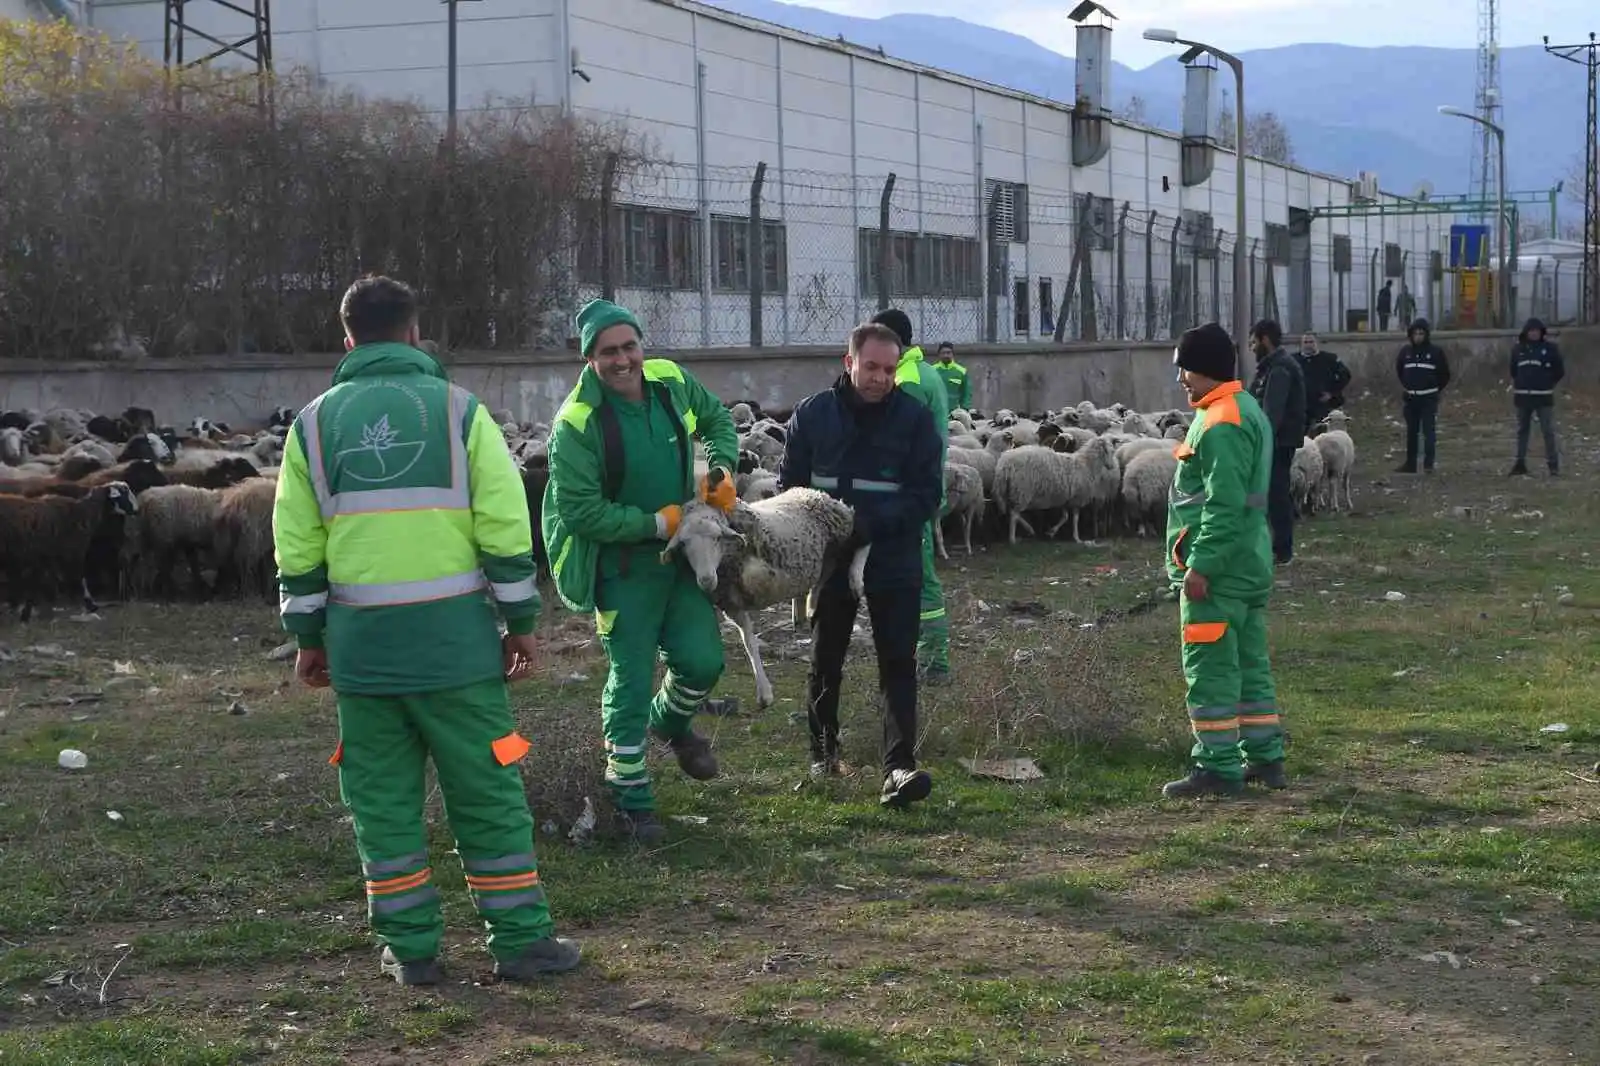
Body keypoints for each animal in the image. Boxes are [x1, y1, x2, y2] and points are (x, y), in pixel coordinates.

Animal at [659, 486, 870, 710]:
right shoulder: (731, 605)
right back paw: (812, 603)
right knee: (825, 570)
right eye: (684, 544)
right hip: (826, 549)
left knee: (862, 539)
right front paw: (764, 691)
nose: (706, 580)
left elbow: (758, 580)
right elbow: (749, 642)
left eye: (717, 538)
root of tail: (812, 491)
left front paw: (764, 692)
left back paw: (856, 578)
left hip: (842, 525)